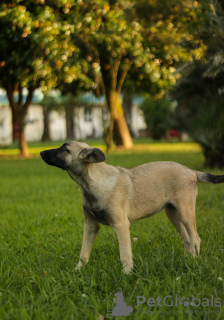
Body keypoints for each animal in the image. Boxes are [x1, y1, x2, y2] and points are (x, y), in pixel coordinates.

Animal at [40, 141, 224, 274]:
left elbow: (125, 254)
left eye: (64, 149)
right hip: (173, 213)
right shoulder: (90, 225)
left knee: (195, 239)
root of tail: (191, 171)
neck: (93, 181)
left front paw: (127, 274)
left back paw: (195, 263)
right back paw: (187, 260)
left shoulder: (121, 225)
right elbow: (84, 252)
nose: (41, 152)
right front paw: (77, 271)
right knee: (186, 238)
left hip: (186, 212)